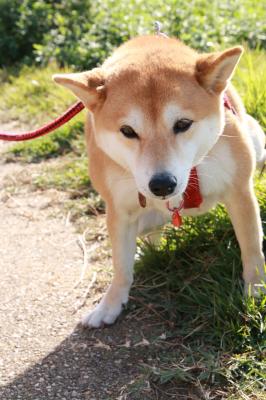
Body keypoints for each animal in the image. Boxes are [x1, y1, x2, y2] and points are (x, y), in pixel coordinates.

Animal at [53, 35, 264, 328]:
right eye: (127, 131)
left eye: (183, 123)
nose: (162, 184)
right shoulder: (118, 209)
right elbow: (120, 267)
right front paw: (110, 304)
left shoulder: (239, 191)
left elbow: (252, 248)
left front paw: (256, 290)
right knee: (148, 235)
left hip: (256, 139)